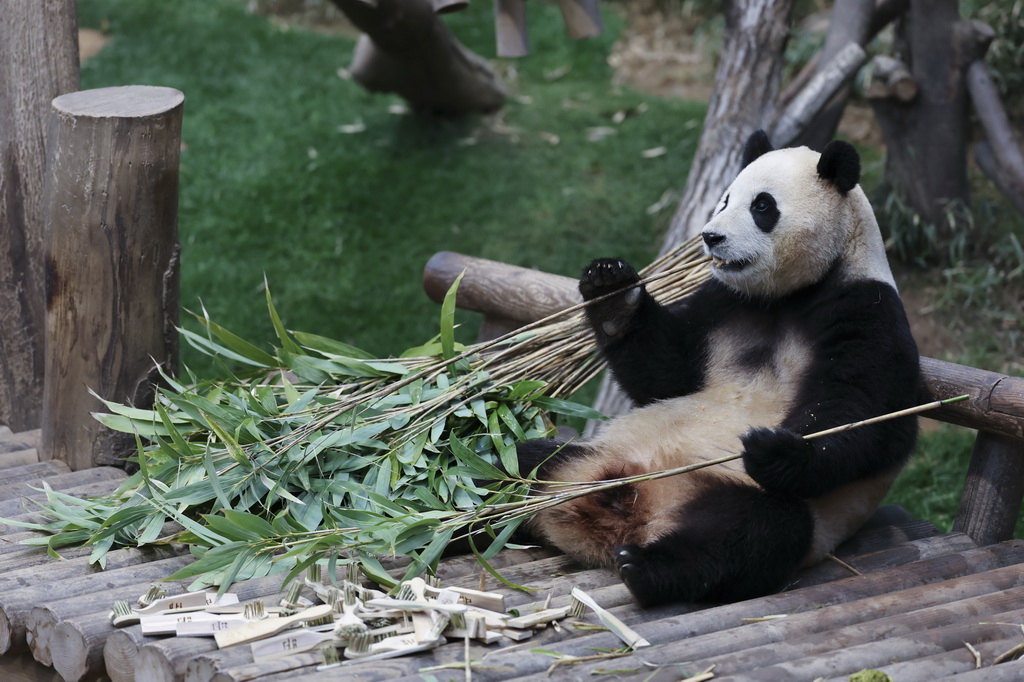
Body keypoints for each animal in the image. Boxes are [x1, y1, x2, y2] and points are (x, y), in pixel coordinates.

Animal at [516, 130, 925, 602]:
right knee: (517, 463)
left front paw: (777, 448)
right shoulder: (722, 303)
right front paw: (611, 287)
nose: (711, 237)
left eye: (762, 206)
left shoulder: (866, 310)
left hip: (741, 498)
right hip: (587, 457)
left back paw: (647, 568)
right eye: (725, 199)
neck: (788, 295)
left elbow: (871, 417)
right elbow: (666, 373)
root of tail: (630, 515)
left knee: (753, 532)